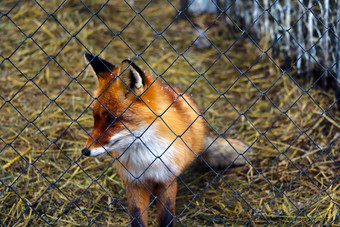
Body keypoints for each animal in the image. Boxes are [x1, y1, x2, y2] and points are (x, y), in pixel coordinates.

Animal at [81, 53, 252, 227]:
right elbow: (137, 217)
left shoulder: (167, 177)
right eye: (94, 118)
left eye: (111, 121)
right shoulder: (134, 181)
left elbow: (166, 216)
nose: (85, 151)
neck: (145, 156)